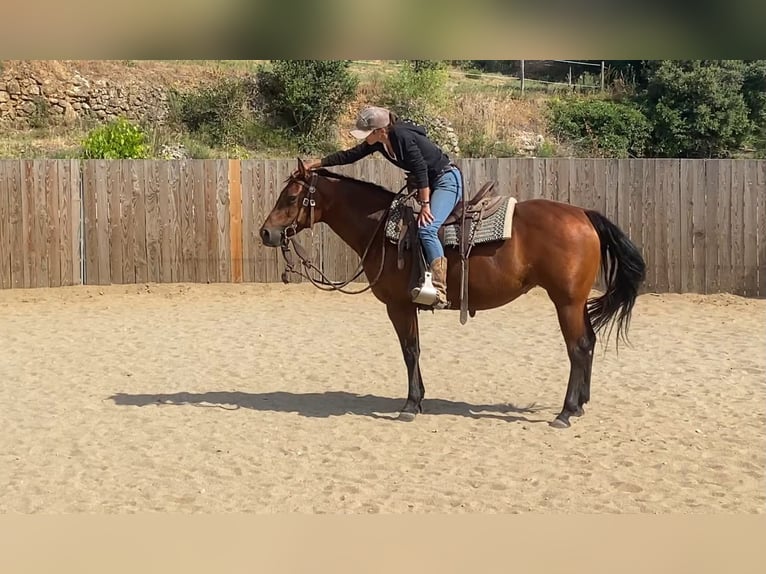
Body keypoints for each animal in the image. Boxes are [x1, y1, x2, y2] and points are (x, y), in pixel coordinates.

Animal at [258, 159, 646, 429]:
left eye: (290, 196)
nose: (266, 233)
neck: (382, 228)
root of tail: (584, 214)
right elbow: (413, 350)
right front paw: (418, 400)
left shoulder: (398, 306)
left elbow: (410, 351)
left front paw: (411, 404)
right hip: (576, 303)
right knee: (590, 342)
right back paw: (580, 405)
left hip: (566, 302)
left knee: (577, 347)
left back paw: (565, 412)